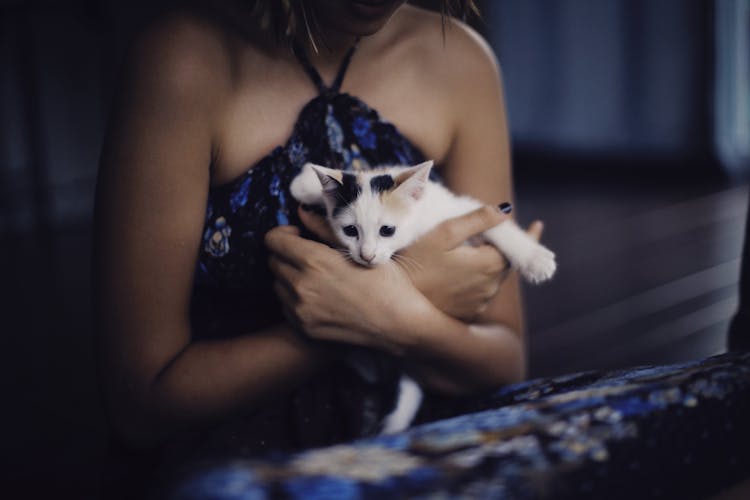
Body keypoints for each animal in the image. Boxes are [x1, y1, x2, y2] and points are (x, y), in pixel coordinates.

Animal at [292, 161, 560, 434]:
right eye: (350, 230)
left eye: (387, 230)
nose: (366, 255)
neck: (416, 222)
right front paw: (305, 183)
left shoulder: (455, 208)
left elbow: (496, 226)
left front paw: (534, 258)